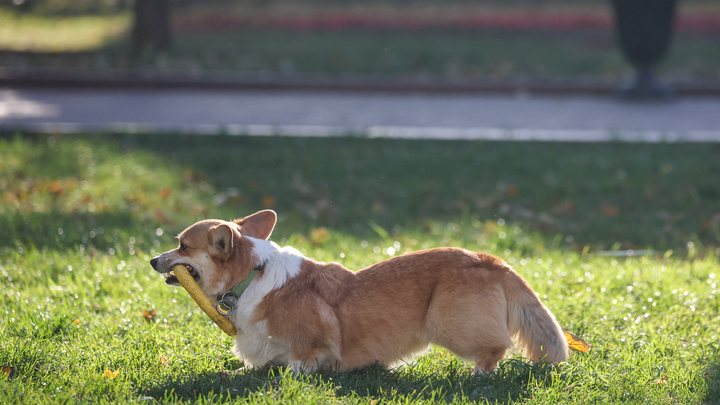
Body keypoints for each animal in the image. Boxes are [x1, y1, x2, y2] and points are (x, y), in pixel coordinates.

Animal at [150, 210, 568, 374]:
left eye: (182, 246)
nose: (153, 260)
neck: (252, 277)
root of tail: (490, 259)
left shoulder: (310, 349)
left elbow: (292, 366)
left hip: (447, 322)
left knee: (495, 349)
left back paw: (478, 375)